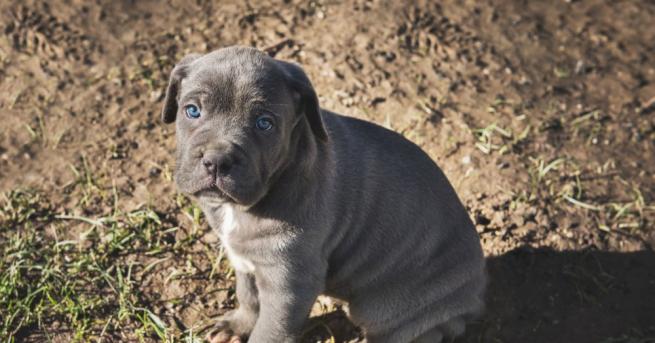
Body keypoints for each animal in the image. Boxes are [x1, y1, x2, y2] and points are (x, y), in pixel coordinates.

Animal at [161, 46, 484, 343]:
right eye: (192, 111)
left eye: (264, 124)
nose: (217, 160)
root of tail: (474, 297)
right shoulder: (245, 260)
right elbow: (248, 296)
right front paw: (237, 325)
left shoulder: (289, 285)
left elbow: (269, 330)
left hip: (390, 310)